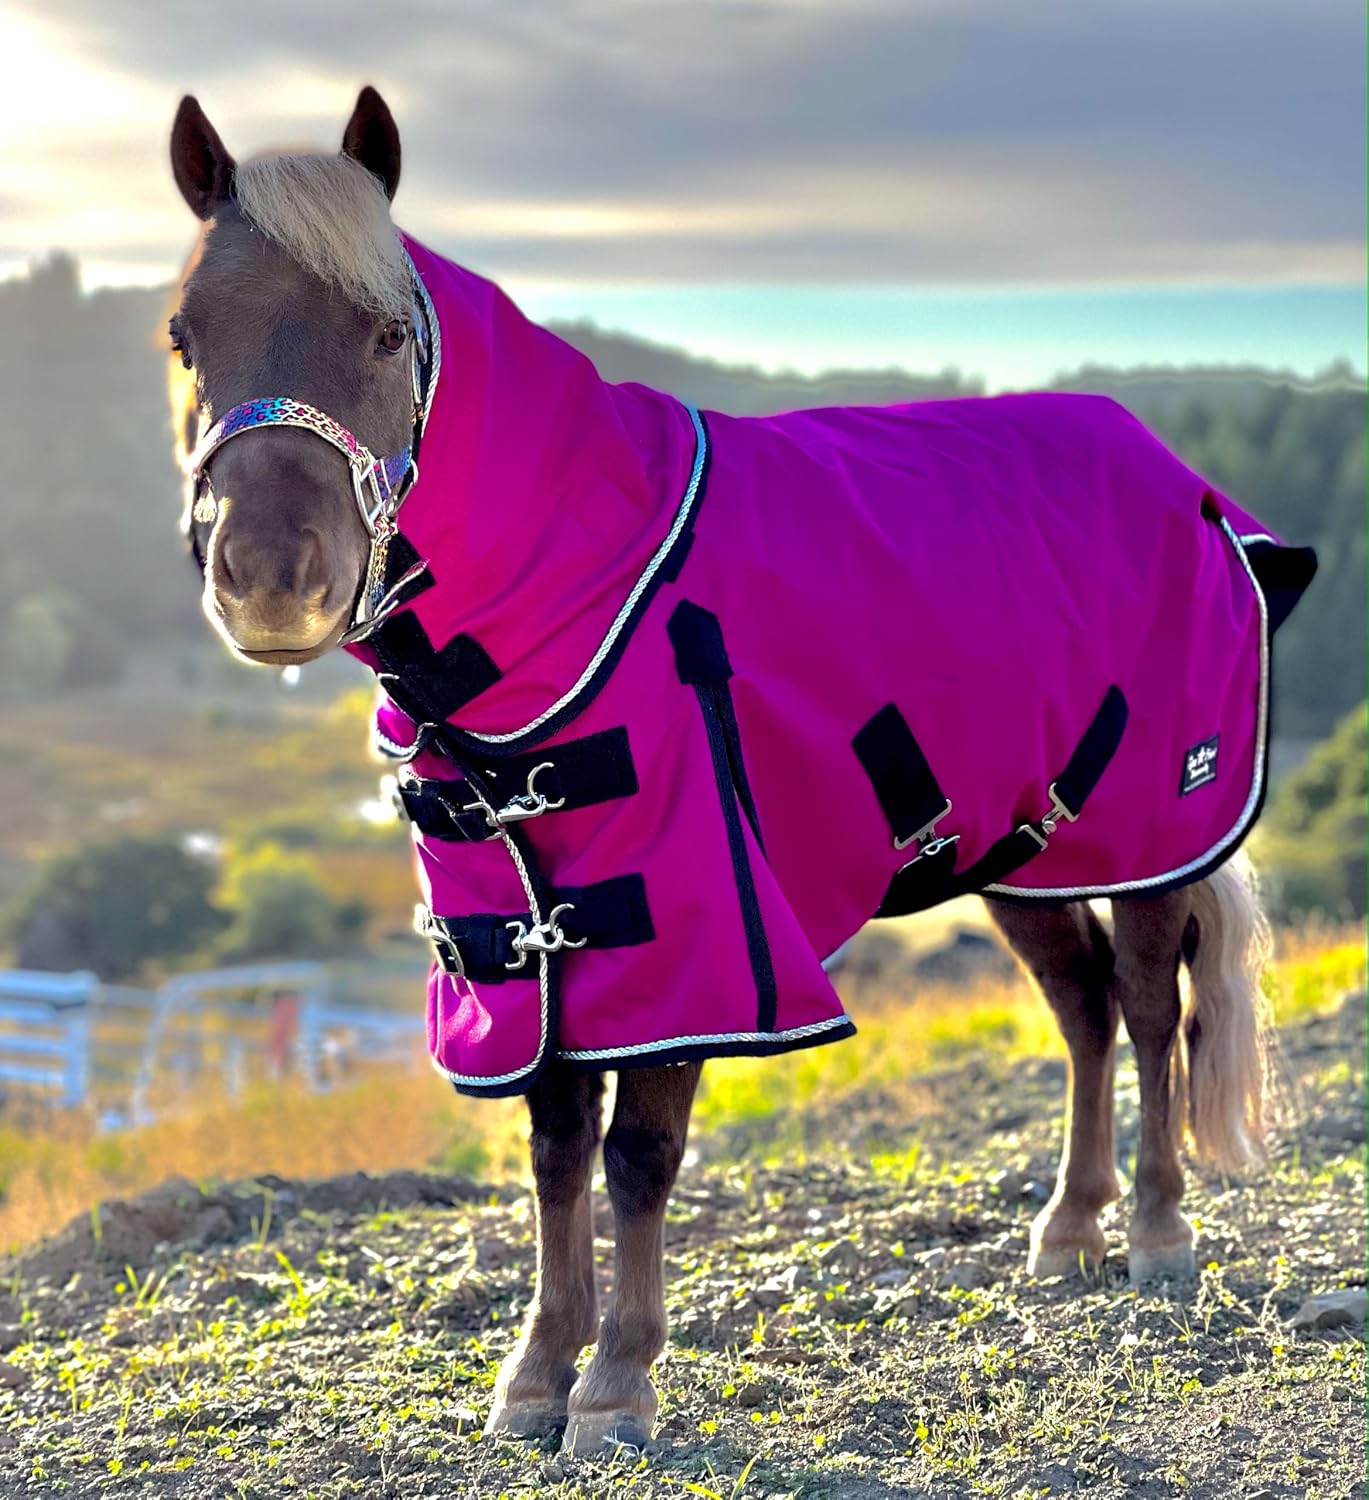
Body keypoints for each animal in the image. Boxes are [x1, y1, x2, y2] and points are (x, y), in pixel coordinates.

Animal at [165, 86, 1315, 1456]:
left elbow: (637, 1156)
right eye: (185, 336)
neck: (582, 573)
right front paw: (535, 1372)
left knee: (1143, 1006)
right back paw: (1068, 1228)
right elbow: (556, 1145)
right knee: (1080, 1009)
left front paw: (615, 1384)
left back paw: (1152, 1230)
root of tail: (1185, 484)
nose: (270, 578)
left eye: (388, 334)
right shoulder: (521, 932)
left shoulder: (688, 917)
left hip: (1146, 831)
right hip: (1017, 853)